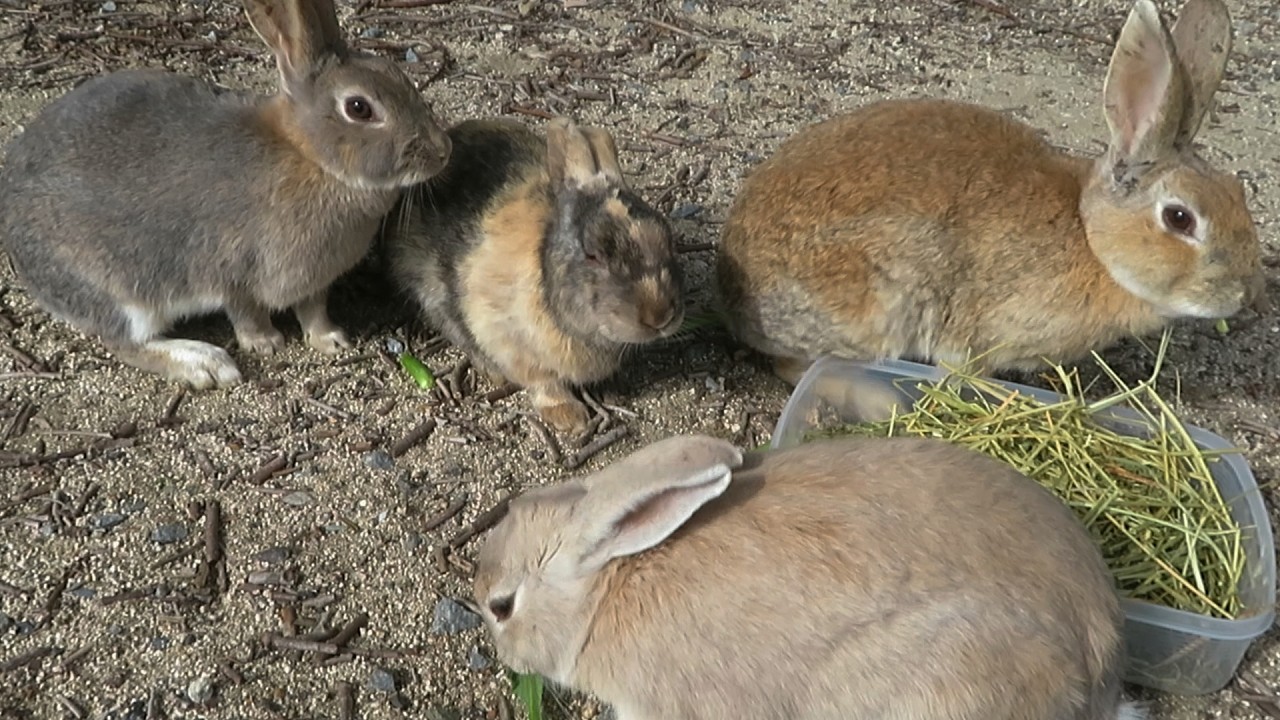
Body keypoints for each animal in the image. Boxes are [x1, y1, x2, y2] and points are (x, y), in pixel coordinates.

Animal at [0, 0, 452, 390]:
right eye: (359, 108)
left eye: (398, 75)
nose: (441, 151)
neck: (314, 159)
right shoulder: (233, 270)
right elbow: (245, 312)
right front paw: (266, 344)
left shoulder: (312, 282)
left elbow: (313, 310)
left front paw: (330, 340)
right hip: (121, 291)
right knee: (125, 342)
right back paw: (204, 364)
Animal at [381, 116, 685, 434]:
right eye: (592, 254)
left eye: (666, 237)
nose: (660, 316)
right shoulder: (511, 343)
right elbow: (545, 384)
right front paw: (570, 418)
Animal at [715, 0, 1267, 388]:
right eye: (1179, 218)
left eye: (1238, 191)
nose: (1244, 296)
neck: (1092, 240)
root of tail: (732, 289)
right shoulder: (981, 335)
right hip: (878, 299)